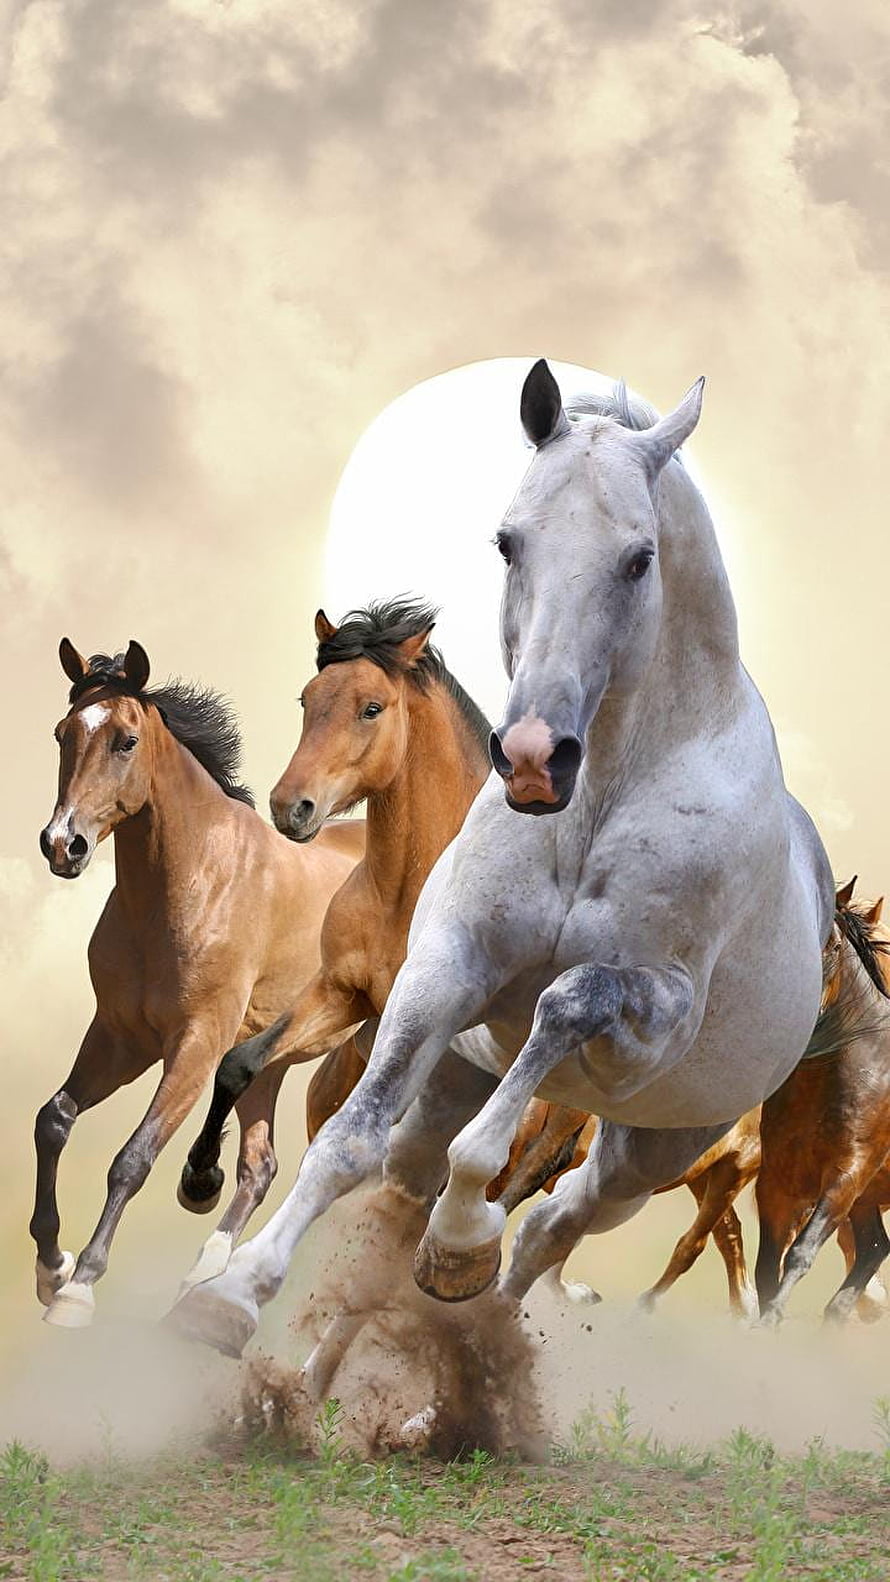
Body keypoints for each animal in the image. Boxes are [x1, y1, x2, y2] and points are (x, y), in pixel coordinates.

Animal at [32, 639, 363, 1327]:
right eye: (62, 734)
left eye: (126, 741)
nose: (62, 845)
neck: (193, 882)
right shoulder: (120, 1038)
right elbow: (55, 1119)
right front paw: (52, 1268)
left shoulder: (196, 1044)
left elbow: (133, 1157)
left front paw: (80, 1286)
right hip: (275, 1061)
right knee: (260, 1165)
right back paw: (205, 1275)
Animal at [170, 358, 836, 1364]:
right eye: (508, 542)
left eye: (641, 558)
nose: (531, 758)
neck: (595, 804)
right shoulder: (445, 971)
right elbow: (351, 1140)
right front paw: (233, 1295)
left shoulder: (652, 1018)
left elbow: (560, 1013)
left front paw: (458, 1241)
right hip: (458, 1076)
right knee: (412, 1192)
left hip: (653, 1151)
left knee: (553, 1225)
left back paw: (469, 1304)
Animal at [755, 882, 890, 1324]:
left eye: (833, 945)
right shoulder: (777, 1182)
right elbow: (767, 1267)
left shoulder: (848, 1174)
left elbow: (801, 1252)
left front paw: (771, 1321)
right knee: (874, 1247)